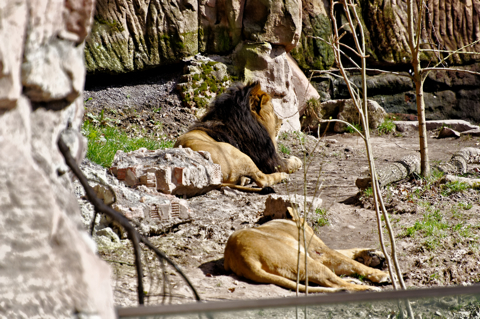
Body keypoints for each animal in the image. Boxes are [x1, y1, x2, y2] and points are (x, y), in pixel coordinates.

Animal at [174, 82, 302, 192]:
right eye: (272, 111)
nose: (282, 123)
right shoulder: (271, 160)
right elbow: (290, 163)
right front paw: (297, 160)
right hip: (239, 154)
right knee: (262, 180)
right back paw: (282, 176)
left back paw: (245, 179)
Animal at [225, 209, 390, 294]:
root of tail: (243, 257)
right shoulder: (318, 251)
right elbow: (349, 260)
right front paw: (382, 274)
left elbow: (347, 253)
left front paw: (374, 255)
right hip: (302, 260)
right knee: (333, 282)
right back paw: (368, 289)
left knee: (327, 281)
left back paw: (356, 280)